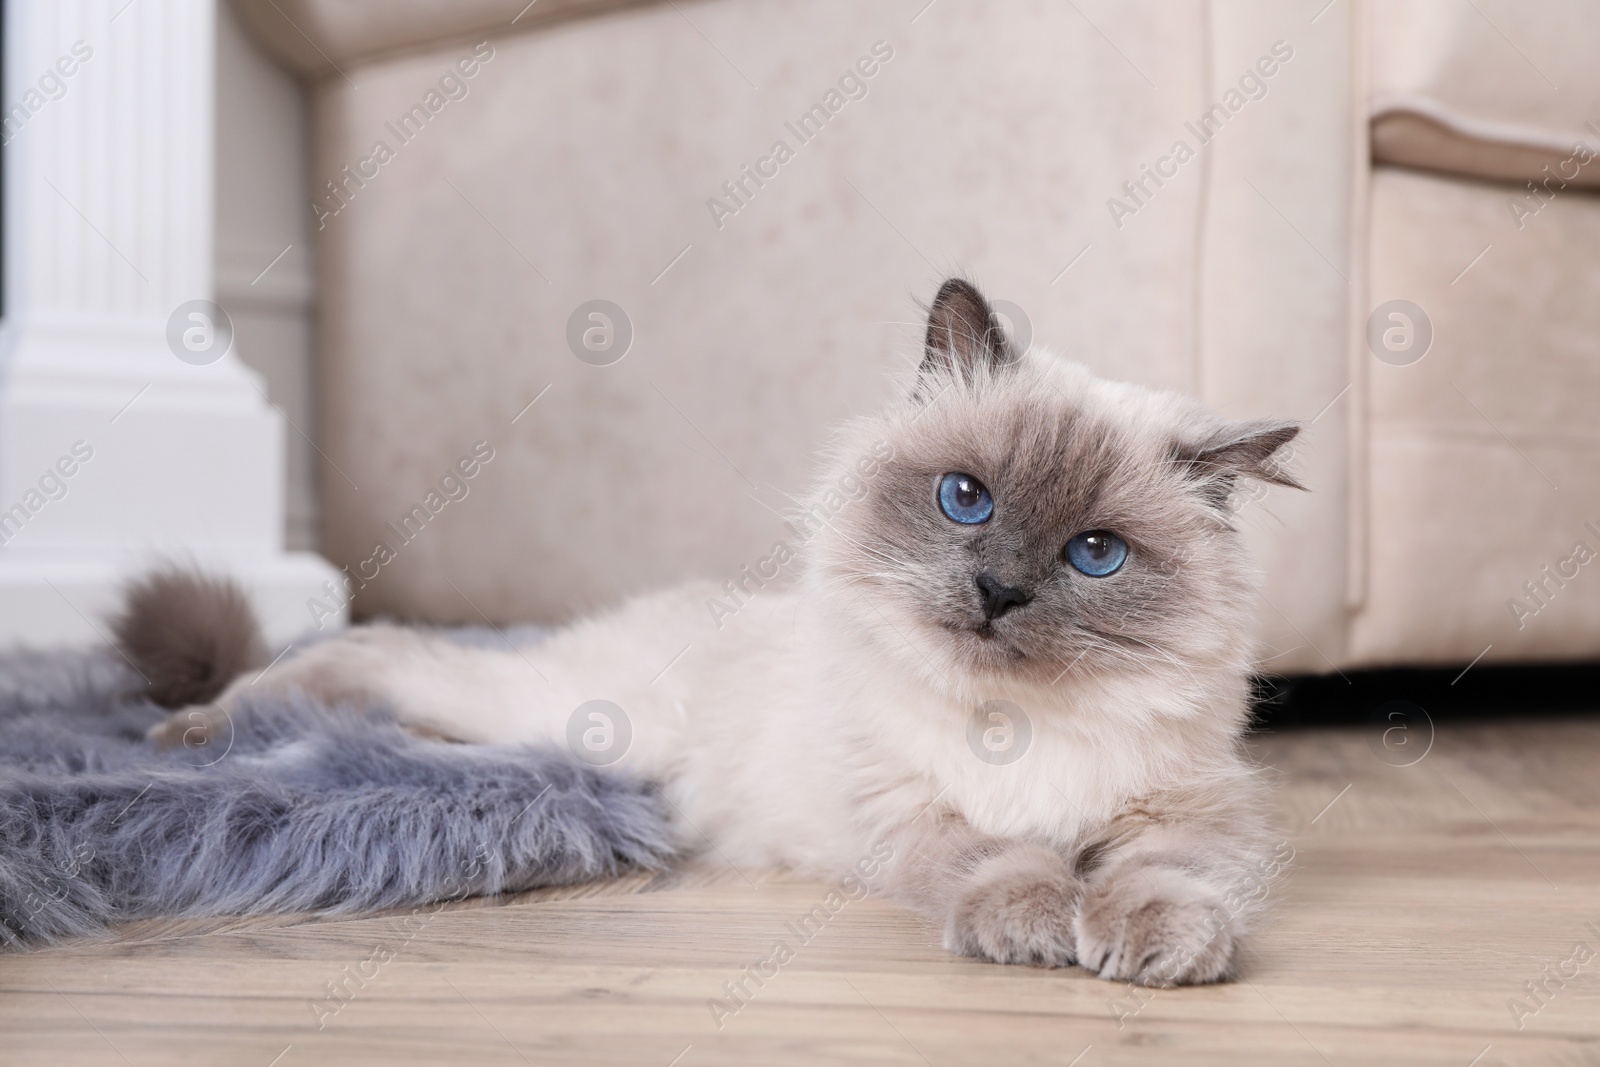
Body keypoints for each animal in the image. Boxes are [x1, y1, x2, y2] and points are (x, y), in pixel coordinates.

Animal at [128, 278, 1299, 985]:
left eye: (1094, 555)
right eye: (965, 499)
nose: (998, 590)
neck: (1017, 723)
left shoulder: (1185, 814)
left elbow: (1162, 877)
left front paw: (1156, 944)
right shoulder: (909, 811)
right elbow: (1002, 858)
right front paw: (1038, 926)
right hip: (572, 712)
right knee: (373, 655)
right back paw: (195, 735)